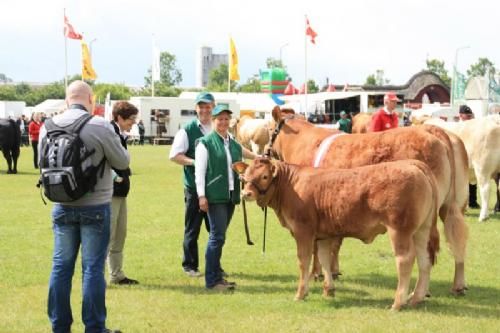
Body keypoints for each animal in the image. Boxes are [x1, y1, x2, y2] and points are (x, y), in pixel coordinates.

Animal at [240, 158, 440, 308]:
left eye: (264, 176)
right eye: (245, 176)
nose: (246, 194)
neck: (291, 184)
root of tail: (412, 164)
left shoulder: (303, 231)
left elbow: (304, 261)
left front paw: (300, 294)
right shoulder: (323, 235)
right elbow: (324, 259)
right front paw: (329, 290)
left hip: (399, 230)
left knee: (405, 259)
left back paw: (398, 302)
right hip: (422, 230)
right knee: (424, 260)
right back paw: (416, 298)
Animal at [268, 107, 470, 294]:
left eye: (269, 128)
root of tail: (434, 130)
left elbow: (317, 247)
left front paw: (316, 274)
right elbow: (334, 244)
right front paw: (333, 271)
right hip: (453, 205)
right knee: (458, 239)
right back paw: (458, 285)